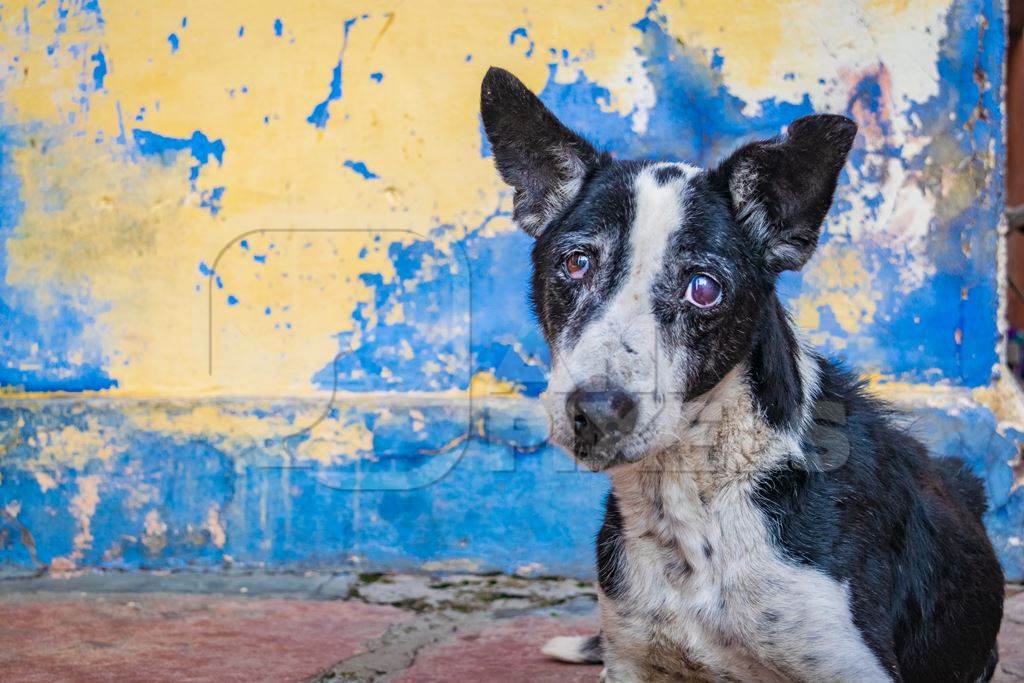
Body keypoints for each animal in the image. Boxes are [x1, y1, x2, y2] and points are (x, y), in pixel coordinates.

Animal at [481, 65, 1007, 683]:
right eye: (576, 262)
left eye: (704, 288)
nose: (596, 410)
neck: (691, 495)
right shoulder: (632, 655)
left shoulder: (851, 665)